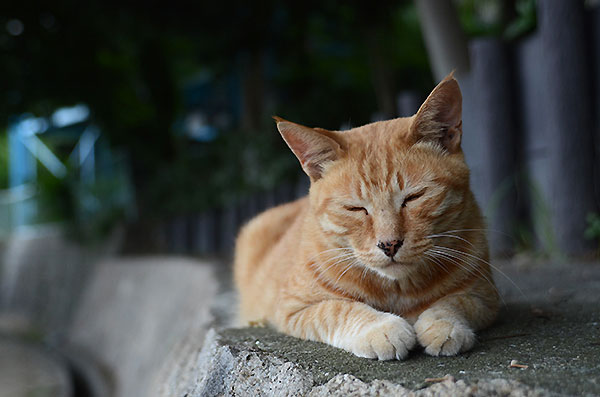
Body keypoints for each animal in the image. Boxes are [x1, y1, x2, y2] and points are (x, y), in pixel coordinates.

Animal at [232, 73, 500, 358]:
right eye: (356, 208)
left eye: (413, 197)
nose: (389, 244)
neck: (397, 289)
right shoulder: (294, 308)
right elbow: (337, 309)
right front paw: (381, 328)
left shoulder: (485, 296)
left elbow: (454, 302)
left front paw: (443, 325)